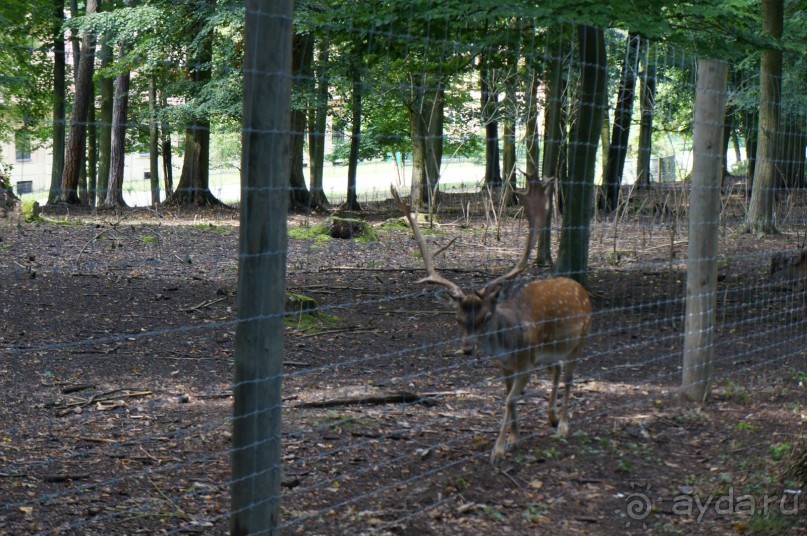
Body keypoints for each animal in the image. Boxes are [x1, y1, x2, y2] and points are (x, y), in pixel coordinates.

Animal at [392, 182, 592, 462]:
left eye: (486, 317)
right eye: (457, 318)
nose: (466, 349)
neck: (508, 346)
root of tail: (581, 289)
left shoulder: (526, 363)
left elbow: (509, 400)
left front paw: (498, 449)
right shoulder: (506, 366)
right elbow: (508, 397)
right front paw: (514, 438)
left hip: (579, 340)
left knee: (570, 376)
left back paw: (563, 425)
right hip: (550, 350)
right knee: (557, 368)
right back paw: (551, 417)